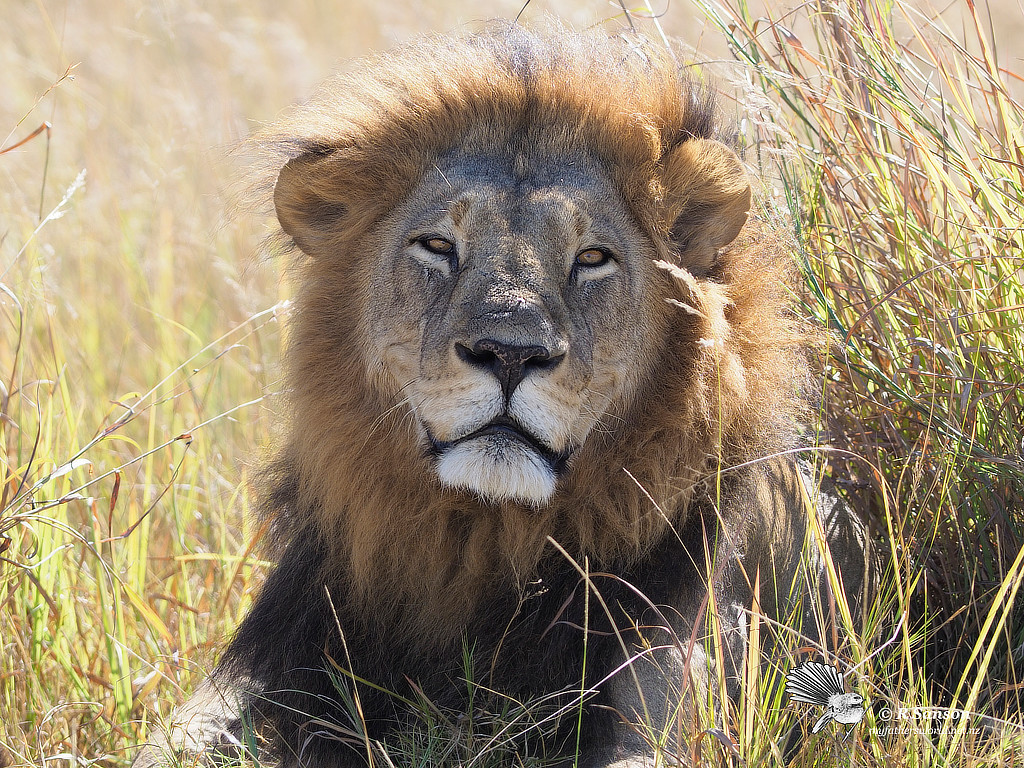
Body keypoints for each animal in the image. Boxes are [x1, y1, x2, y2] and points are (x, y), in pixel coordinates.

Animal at [136, 20, 872, 768]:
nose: (512, 353)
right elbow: (166, 741)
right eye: (437, 246)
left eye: (592, 258)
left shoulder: (669, 687)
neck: (480, 539)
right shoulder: (269, 668)